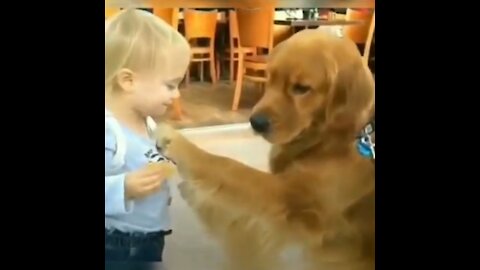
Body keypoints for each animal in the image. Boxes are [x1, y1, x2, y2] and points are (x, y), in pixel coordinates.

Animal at [156, 29, 374, 270]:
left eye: (302, 88)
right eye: (269, 79)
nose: (256, 122)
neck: (331, 139)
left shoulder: (288, 198)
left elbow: (227, 166)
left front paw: (177, 143)